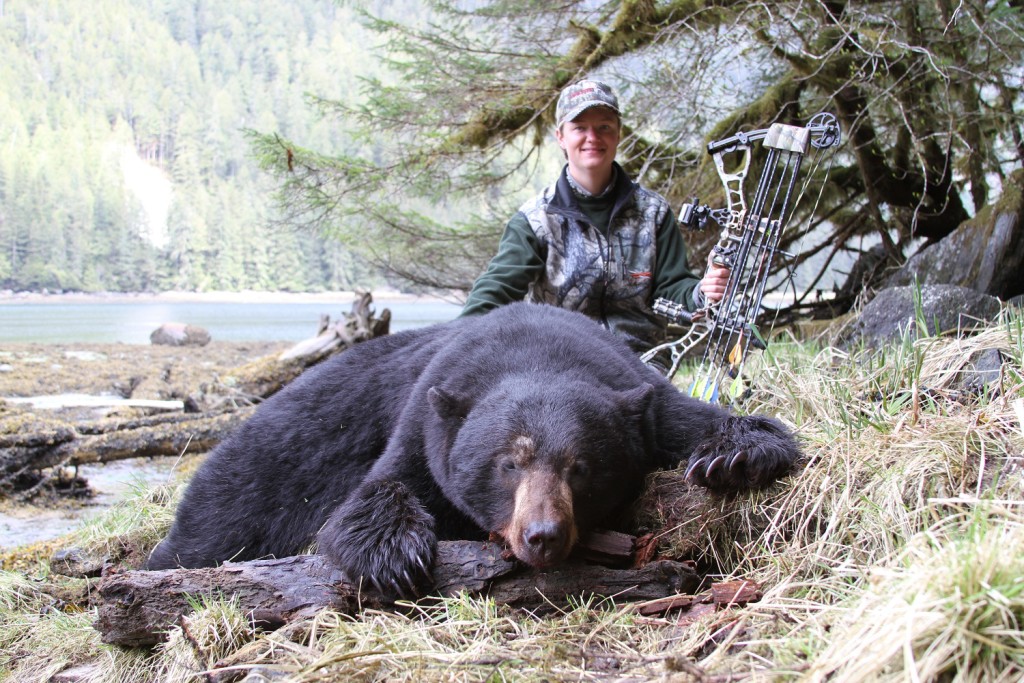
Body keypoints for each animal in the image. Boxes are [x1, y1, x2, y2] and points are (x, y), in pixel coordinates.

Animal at [146, 305, 798, 598]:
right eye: (508, 463)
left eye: (581, 467)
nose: (542, 535)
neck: (532, 348)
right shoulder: (426, 417)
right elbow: (372, 493)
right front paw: (394, 554)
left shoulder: (642, 397)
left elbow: (705, 421)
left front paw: (737, 456)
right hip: (265, 462)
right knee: (219, 516)